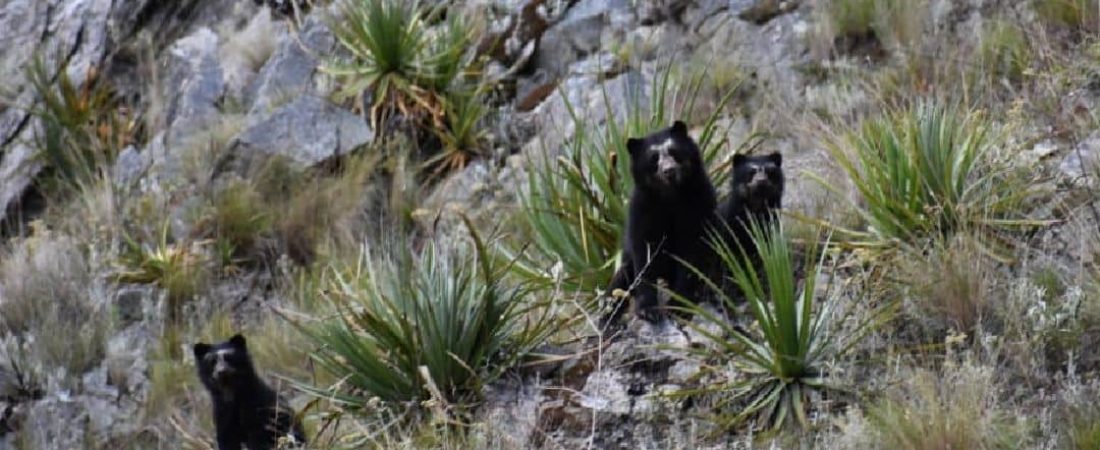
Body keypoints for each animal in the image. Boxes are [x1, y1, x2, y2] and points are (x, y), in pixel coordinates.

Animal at [607, 119, 717, 323]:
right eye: (653, 159)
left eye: (675, 152)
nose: (669, 171)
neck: (670, 195)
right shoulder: (643, 209)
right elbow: (644, 256)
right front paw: (648, 310)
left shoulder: (699, 204)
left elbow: (691, 253)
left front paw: (680, 306)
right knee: (622, 277)